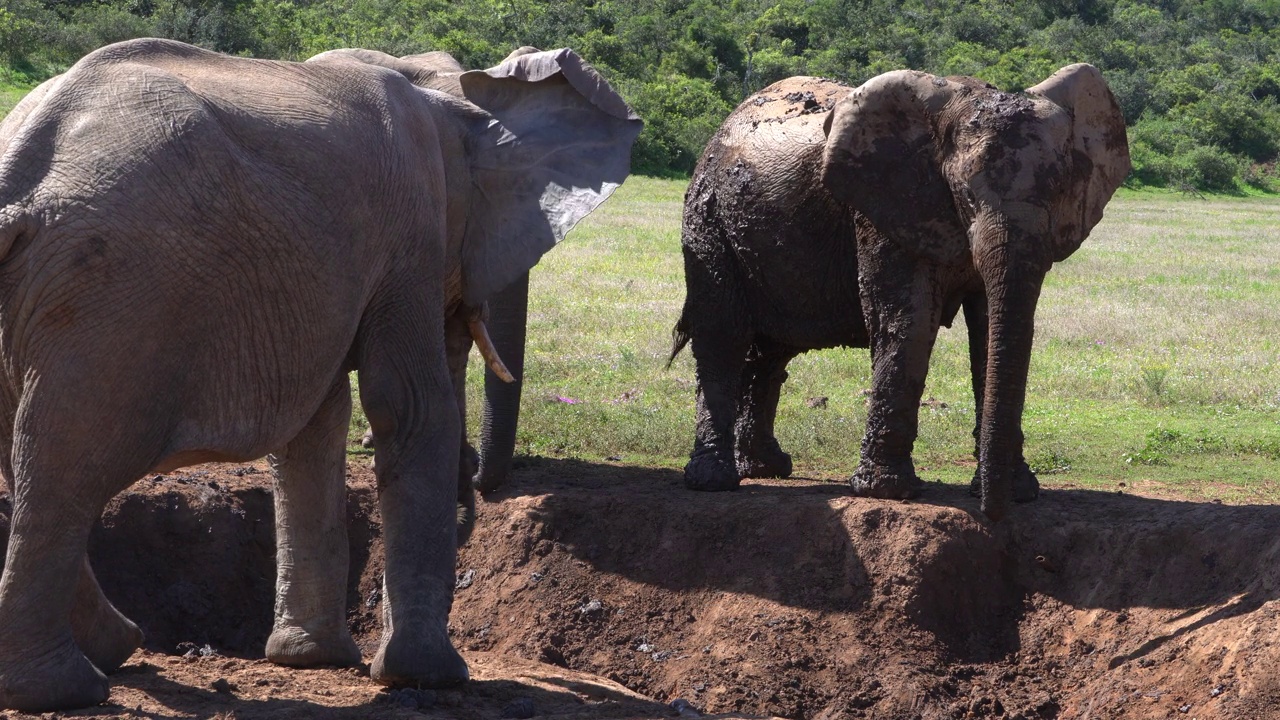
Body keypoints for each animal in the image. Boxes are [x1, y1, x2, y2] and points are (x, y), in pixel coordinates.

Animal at [0, 37, 640, 707]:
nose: (475, 494)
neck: (440, 90)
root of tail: (18, 170)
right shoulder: (410, 228)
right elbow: (411, 406)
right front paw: (428, 675)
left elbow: (316, 427)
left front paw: (312, 658)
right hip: (112, 301)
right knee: (68, 469)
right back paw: (62, 689)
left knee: (23, 462)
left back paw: (114, 648)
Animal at [675, 65, 1126, 515]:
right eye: (965, 195)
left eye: (1063, 190)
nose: (992, 512)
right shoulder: (882, 210)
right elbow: (908, 321)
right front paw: (887, 491)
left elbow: (989, 334)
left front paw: (1017, 490)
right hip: (708, 218)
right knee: (722, 334)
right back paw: (714, 480)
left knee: (770, 350)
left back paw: (765, 467)